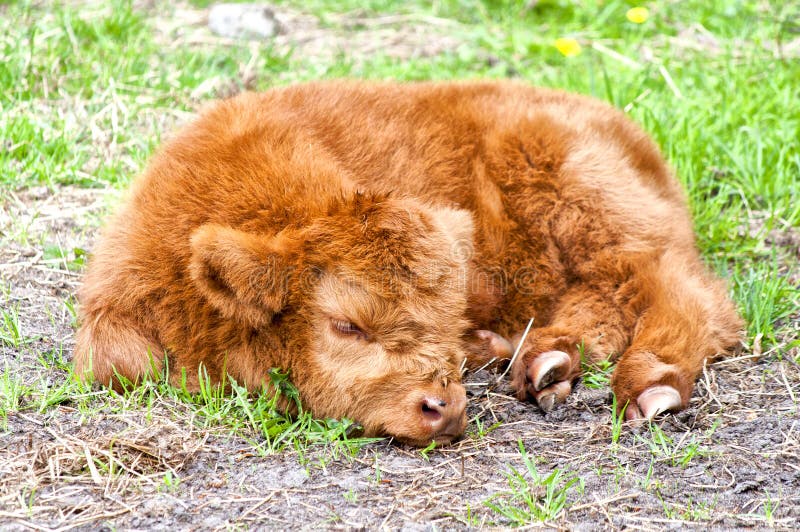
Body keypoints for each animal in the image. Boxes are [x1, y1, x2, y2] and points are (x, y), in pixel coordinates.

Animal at [75, 79, 744, 444]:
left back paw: (651, 387)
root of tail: (626, 129)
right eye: (345, 325)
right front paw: (489, 348)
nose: (444, 409)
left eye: (446, 317)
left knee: (673, 287)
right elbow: (120, 363)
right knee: (606, 294)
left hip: (584, 200)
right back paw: (547, 365)